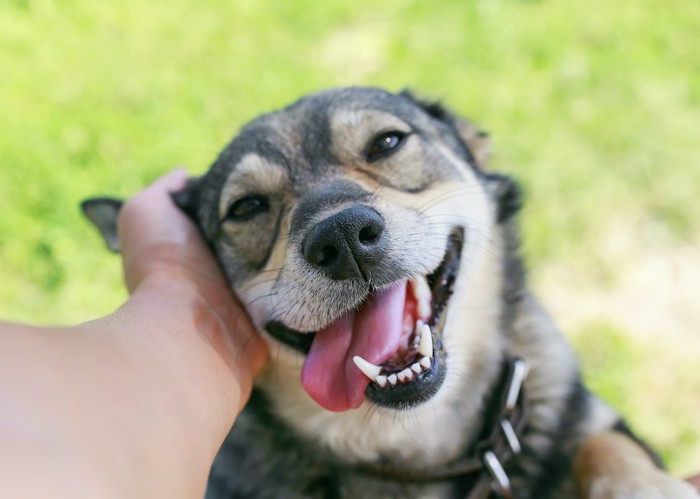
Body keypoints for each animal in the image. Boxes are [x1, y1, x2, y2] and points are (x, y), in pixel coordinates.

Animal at [80, 88, 696, 498]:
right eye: (247, 207)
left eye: (387, 143)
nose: (342, 236)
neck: (414, 446)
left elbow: (605, 445)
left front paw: (648, 488)